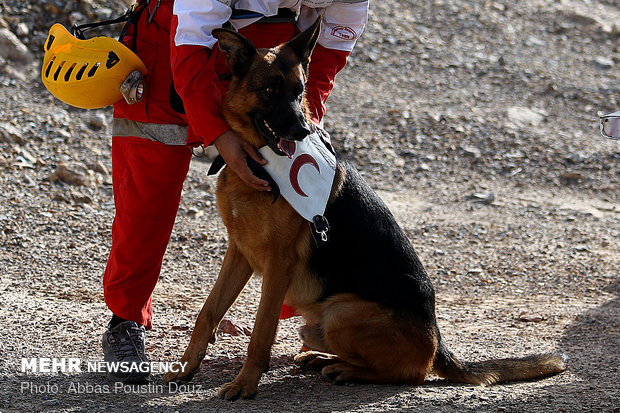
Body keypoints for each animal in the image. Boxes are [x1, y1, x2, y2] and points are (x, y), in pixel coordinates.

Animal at [161, 19, 568, 400]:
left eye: (299, 92)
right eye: (270, 91)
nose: (302, 130)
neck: (257, 166)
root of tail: (437, 338)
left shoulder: (278, 264)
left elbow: (261, 332)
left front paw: (245, 384)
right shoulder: (239, 252)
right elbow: (208, 311)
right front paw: (185, 367)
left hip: (340, 313)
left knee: (410, 374)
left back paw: (346, 369)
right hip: (316, 321)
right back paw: (323, 359)